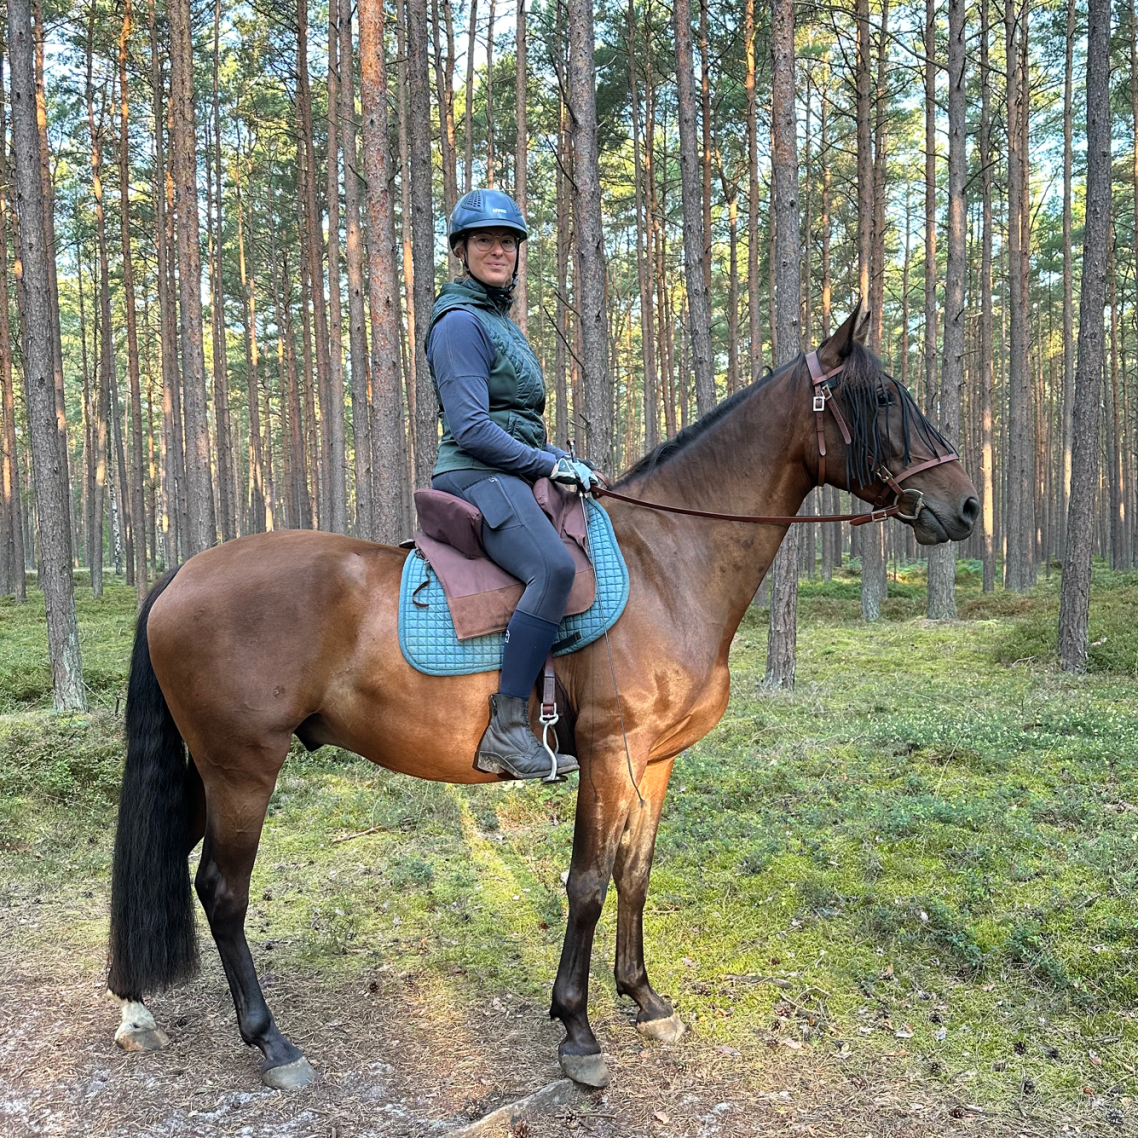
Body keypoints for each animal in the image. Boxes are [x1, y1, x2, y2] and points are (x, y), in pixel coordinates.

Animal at [107, 306, 978, 1091]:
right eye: (887, 396)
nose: (967, 505)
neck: (667, 564)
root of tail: (183, 573)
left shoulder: (654, 761)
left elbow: (636, 871)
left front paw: (644, 1000)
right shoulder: (608, 752)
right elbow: (587, 883)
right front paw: (578, 1030)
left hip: (207, 772)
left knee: (167, 861)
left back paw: (134, 1008)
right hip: (243, 769)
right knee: (222, 891)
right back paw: (272, 1043)